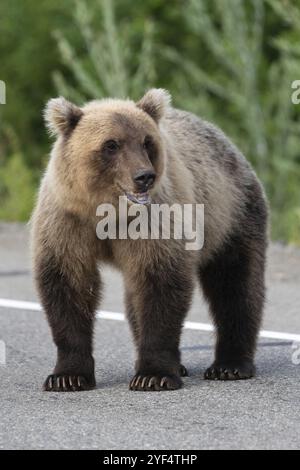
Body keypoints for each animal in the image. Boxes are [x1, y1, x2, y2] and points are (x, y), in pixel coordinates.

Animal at [31, 90, 268, 392]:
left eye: (146, 142)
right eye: (111, 144)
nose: (144, 176)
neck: (109, 212)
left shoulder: (154, 220)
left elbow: (159, 284)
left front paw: (153, 375)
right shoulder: (68, 220)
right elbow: (69, 283)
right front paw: (67, 376)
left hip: (230, 215)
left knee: (235, 284)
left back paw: (229, 365)